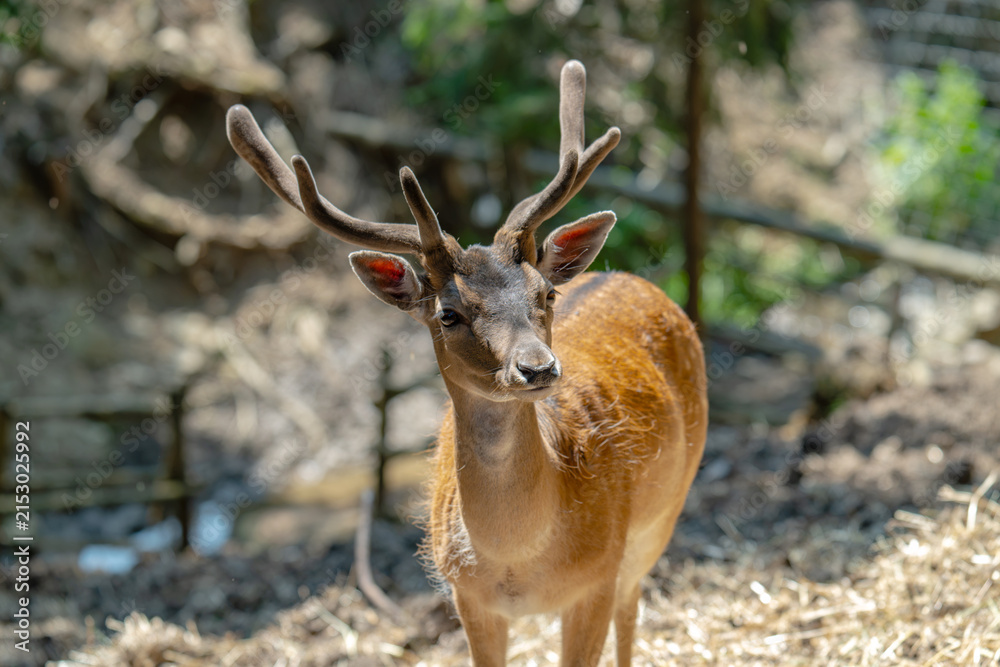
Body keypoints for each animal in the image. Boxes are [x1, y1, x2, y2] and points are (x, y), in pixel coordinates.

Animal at [225, 59, 707, 666]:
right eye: (449, 313)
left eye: (546, 293)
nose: (538, 369)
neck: (518, 559)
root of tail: (629, 277)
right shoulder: (466, 594)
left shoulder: (596, 577)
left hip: (662, 514)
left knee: (633, 603)